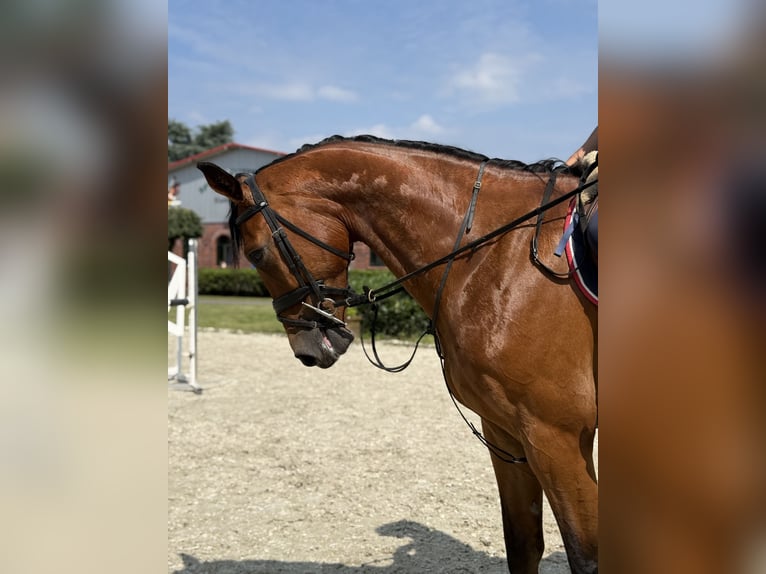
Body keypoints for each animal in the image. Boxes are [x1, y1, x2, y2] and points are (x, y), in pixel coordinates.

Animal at [198, 135, 598, 574]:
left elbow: (586, 557)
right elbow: (523, 546)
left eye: (255, 253)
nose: (307, 351)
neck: (498, 257)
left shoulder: (557, 438)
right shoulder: (506, 433)